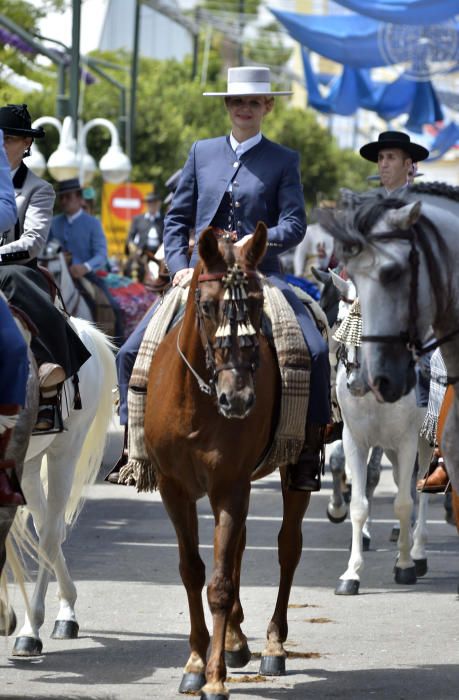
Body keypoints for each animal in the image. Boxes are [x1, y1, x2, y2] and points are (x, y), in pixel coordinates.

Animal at [10, 318, 117, 656]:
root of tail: (81, 328)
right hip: (30, 465)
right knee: (46, 526)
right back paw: (64, 610)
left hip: (65, 451)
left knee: (50, 533)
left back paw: (33, 629)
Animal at [146, 224, 310, 700]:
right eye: (206, 305)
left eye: (255, 304)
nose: (237, 399)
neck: (196, 403)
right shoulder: (174, 489)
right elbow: (193, 571)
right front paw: (197, 662)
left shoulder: (229, 486)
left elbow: (219, 583)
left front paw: (215, 677)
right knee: (238, 550)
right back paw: (237, 641)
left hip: (294, 470)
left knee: (287, 548)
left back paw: (273, 644)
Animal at [330, 270, 432, 592]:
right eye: (341, 321)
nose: (354, 383)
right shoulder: (355, 440)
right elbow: (359, 505)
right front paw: (351, 574)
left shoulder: (408, 440)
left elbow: (404, 503)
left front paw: (405, 566)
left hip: (424, 441)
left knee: (421, 488)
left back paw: (417, 552)